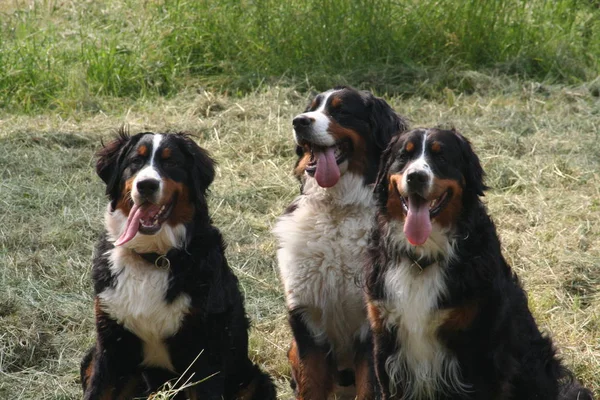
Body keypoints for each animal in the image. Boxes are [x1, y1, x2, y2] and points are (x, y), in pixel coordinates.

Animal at [80, 131, 276, 400]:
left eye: (170, 162)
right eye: (135, 161)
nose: (147, 185)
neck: (154, 257)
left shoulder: (204, 354)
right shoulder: (111, 344)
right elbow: (98, 390)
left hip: (256, 381)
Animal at [274, 87, 408, 400]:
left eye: (341, 110)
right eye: (311, 109)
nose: (299, 121)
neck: (337, 211)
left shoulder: (371, 328)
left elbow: (369, 387)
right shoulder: (306, 322)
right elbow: (310, 385)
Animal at [364, 128, 592, 400]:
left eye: (441, 156)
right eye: (403, 156)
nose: (416, 176)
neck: (423, 258)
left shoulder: (479, 350)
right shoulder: (385, 340)